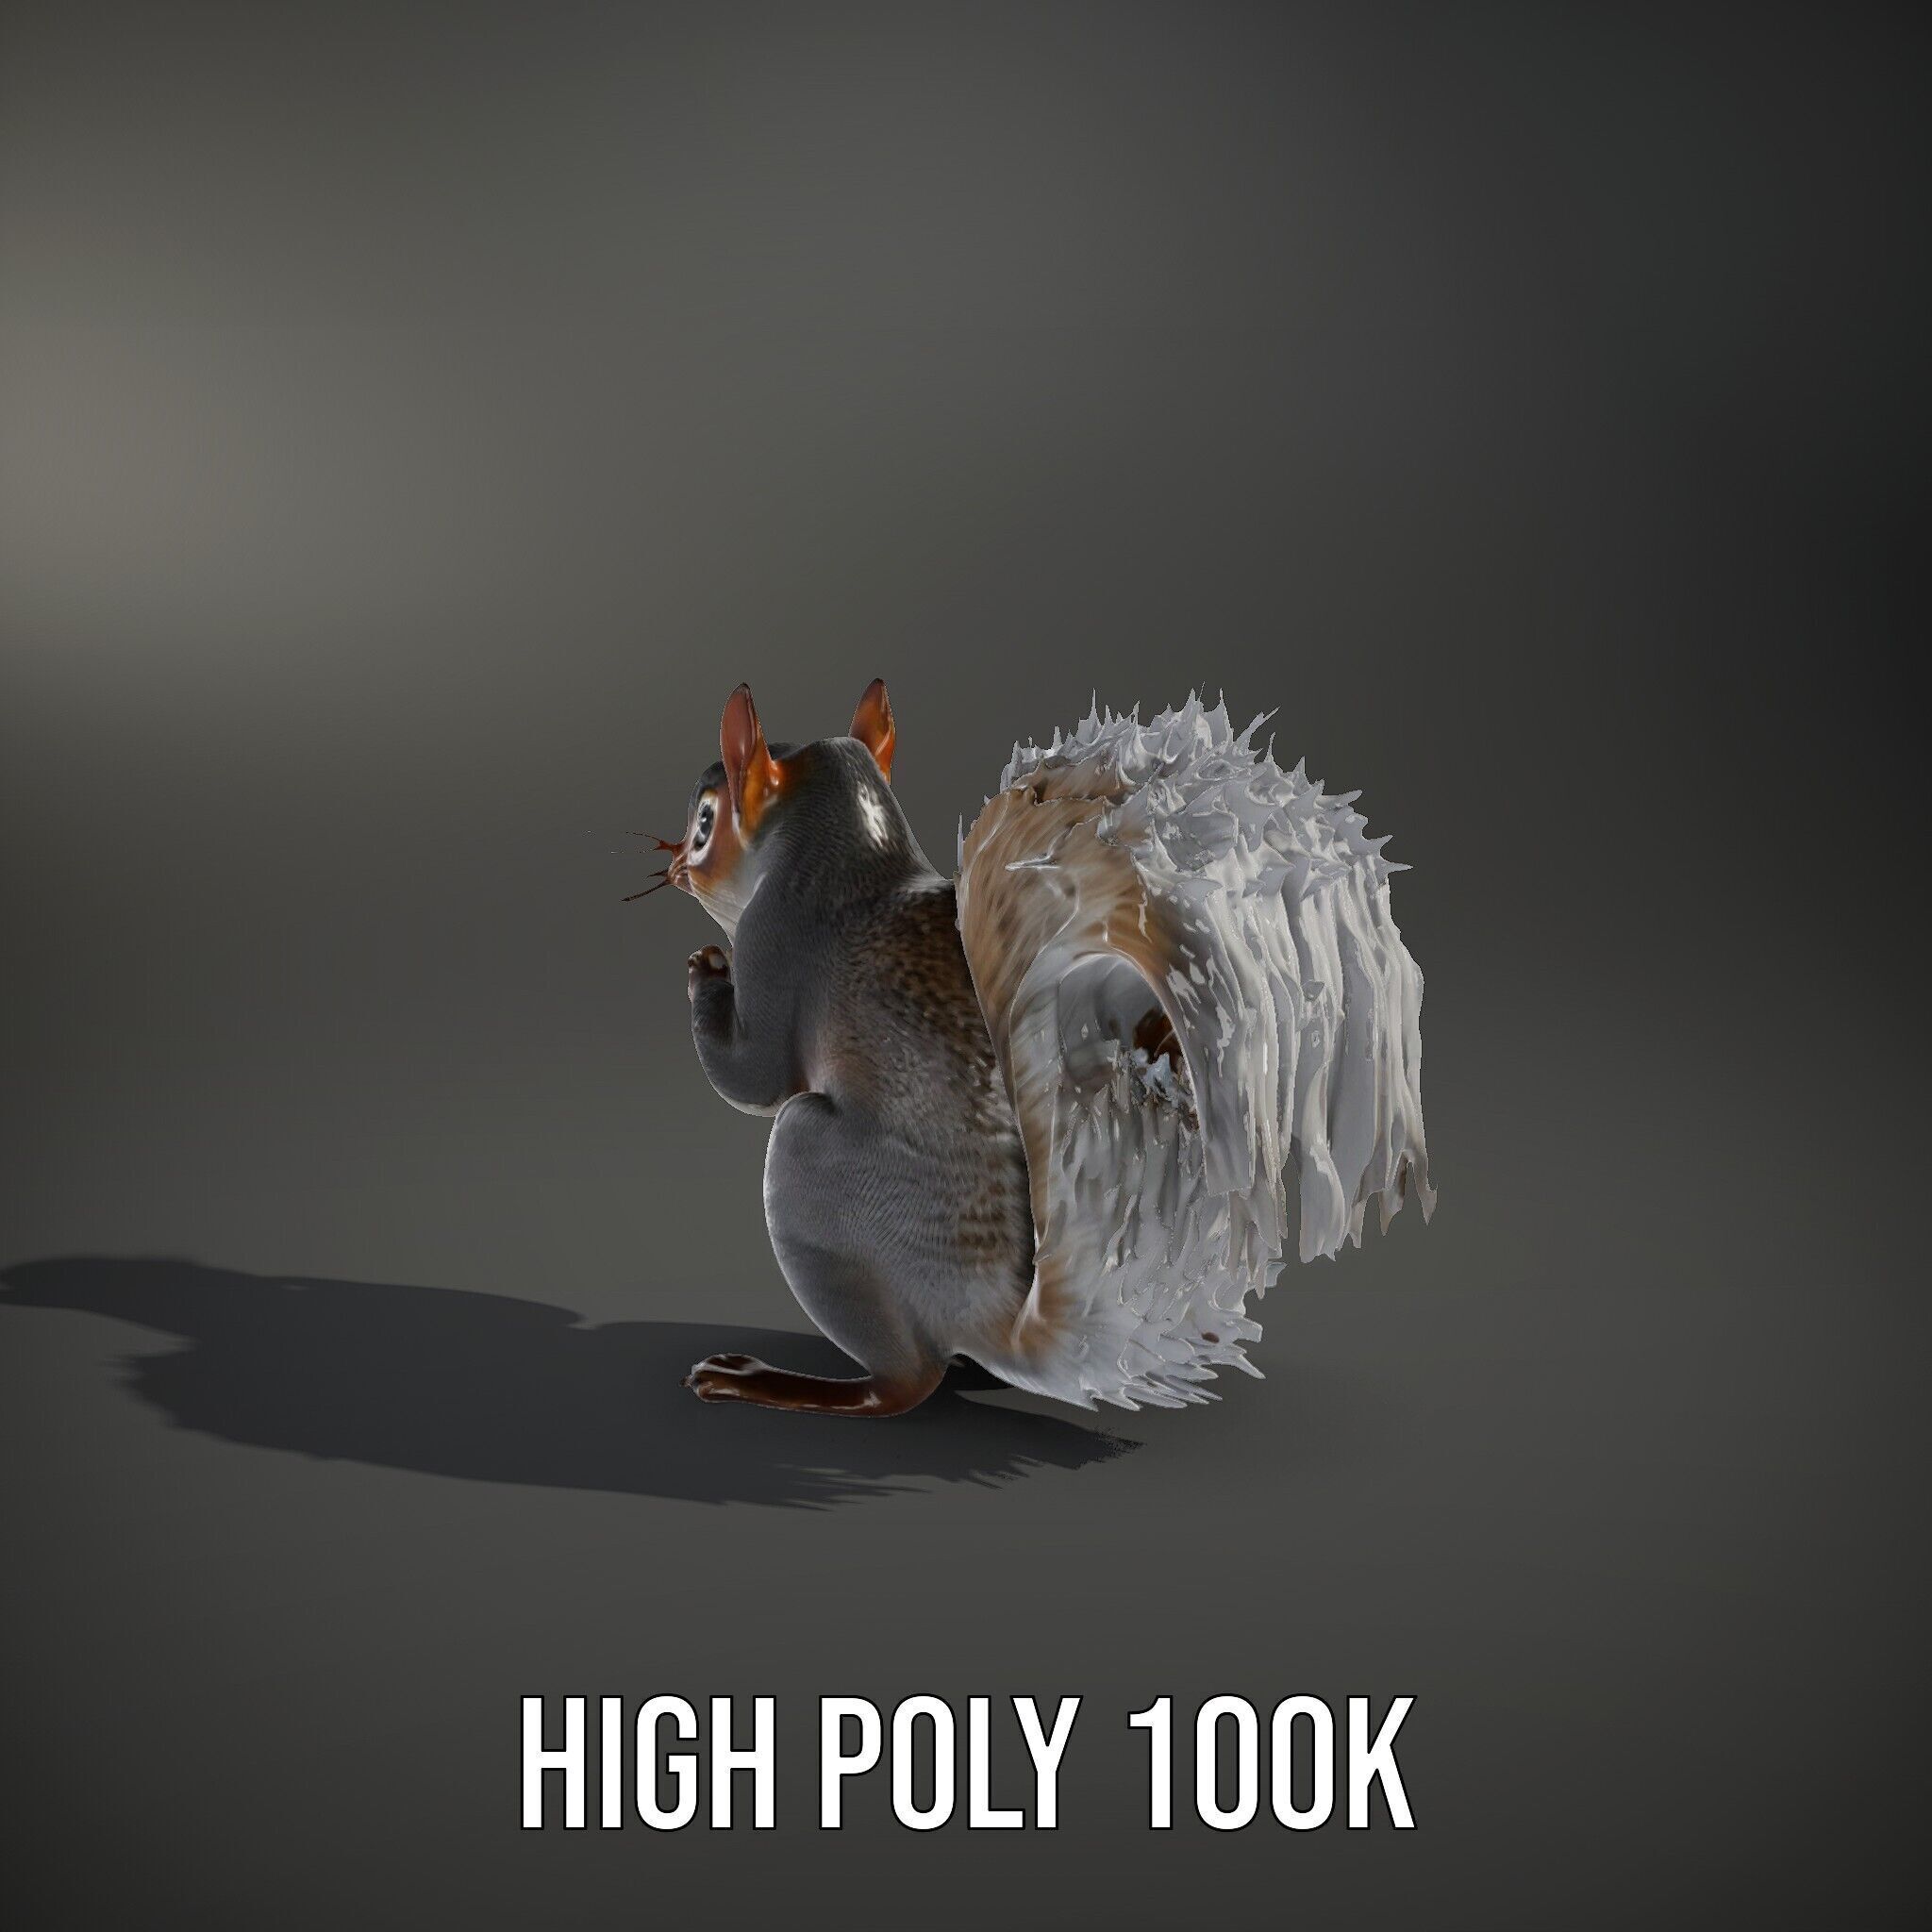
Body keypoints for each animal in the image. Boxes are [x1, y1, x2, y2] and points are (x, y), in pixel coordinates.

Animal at [645, 679, 1433, 1418]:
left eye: (707, 819)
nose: (675, 864)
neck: (845, 852)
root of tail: (992, 1321)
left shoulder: (778, 945)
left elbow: (753, 1077)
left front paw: (705, 972)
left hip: (812, 1174)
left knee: (905, 1383)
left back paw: (774, 1382)